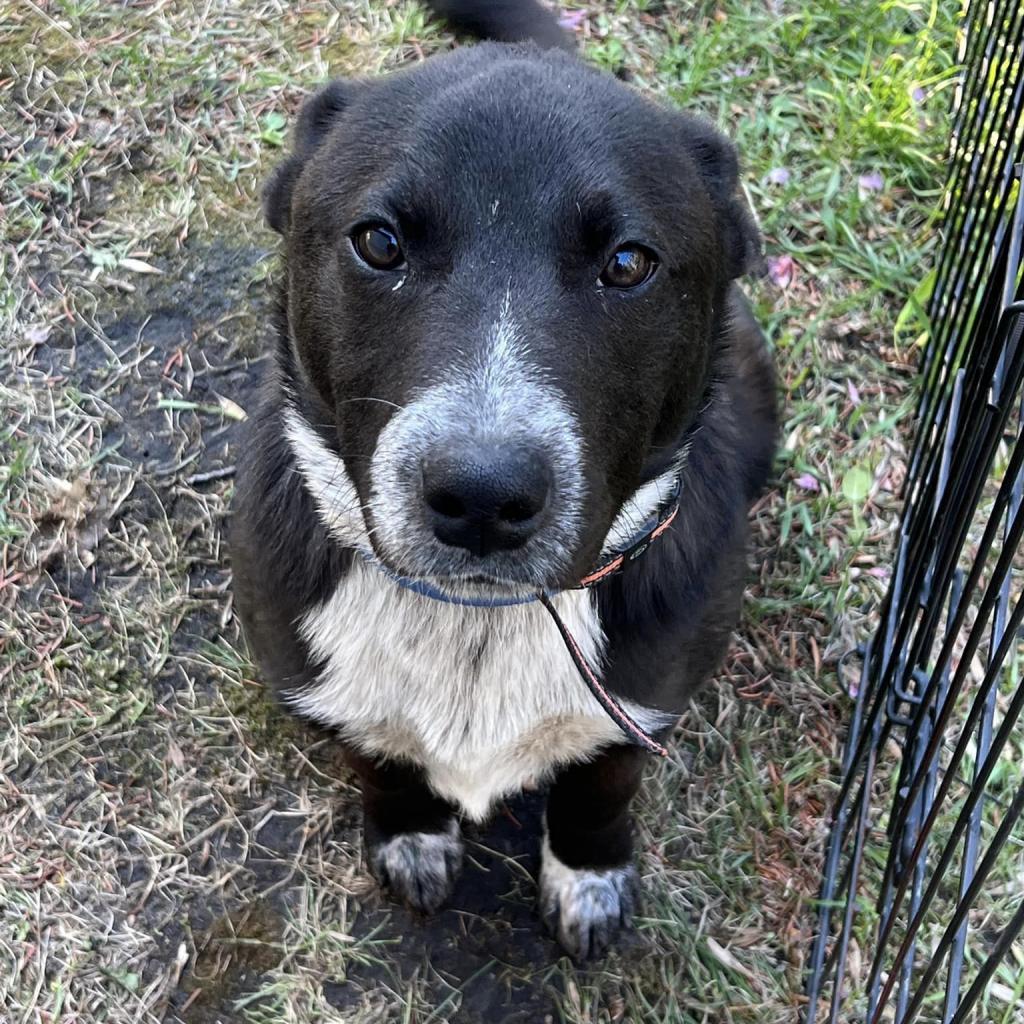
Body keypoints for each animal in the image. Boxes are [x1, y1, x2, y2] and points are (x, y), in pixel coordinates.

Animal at [232, 2, 774, 958]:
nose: (481, 498)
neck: (477, 621)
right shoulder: (333, 692)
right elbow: (383, 761)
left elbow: (599, 790)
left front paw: (588, 877)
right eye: (379, 242)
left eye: (628, 263)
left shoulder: (640, 707)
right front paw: (411, 833)